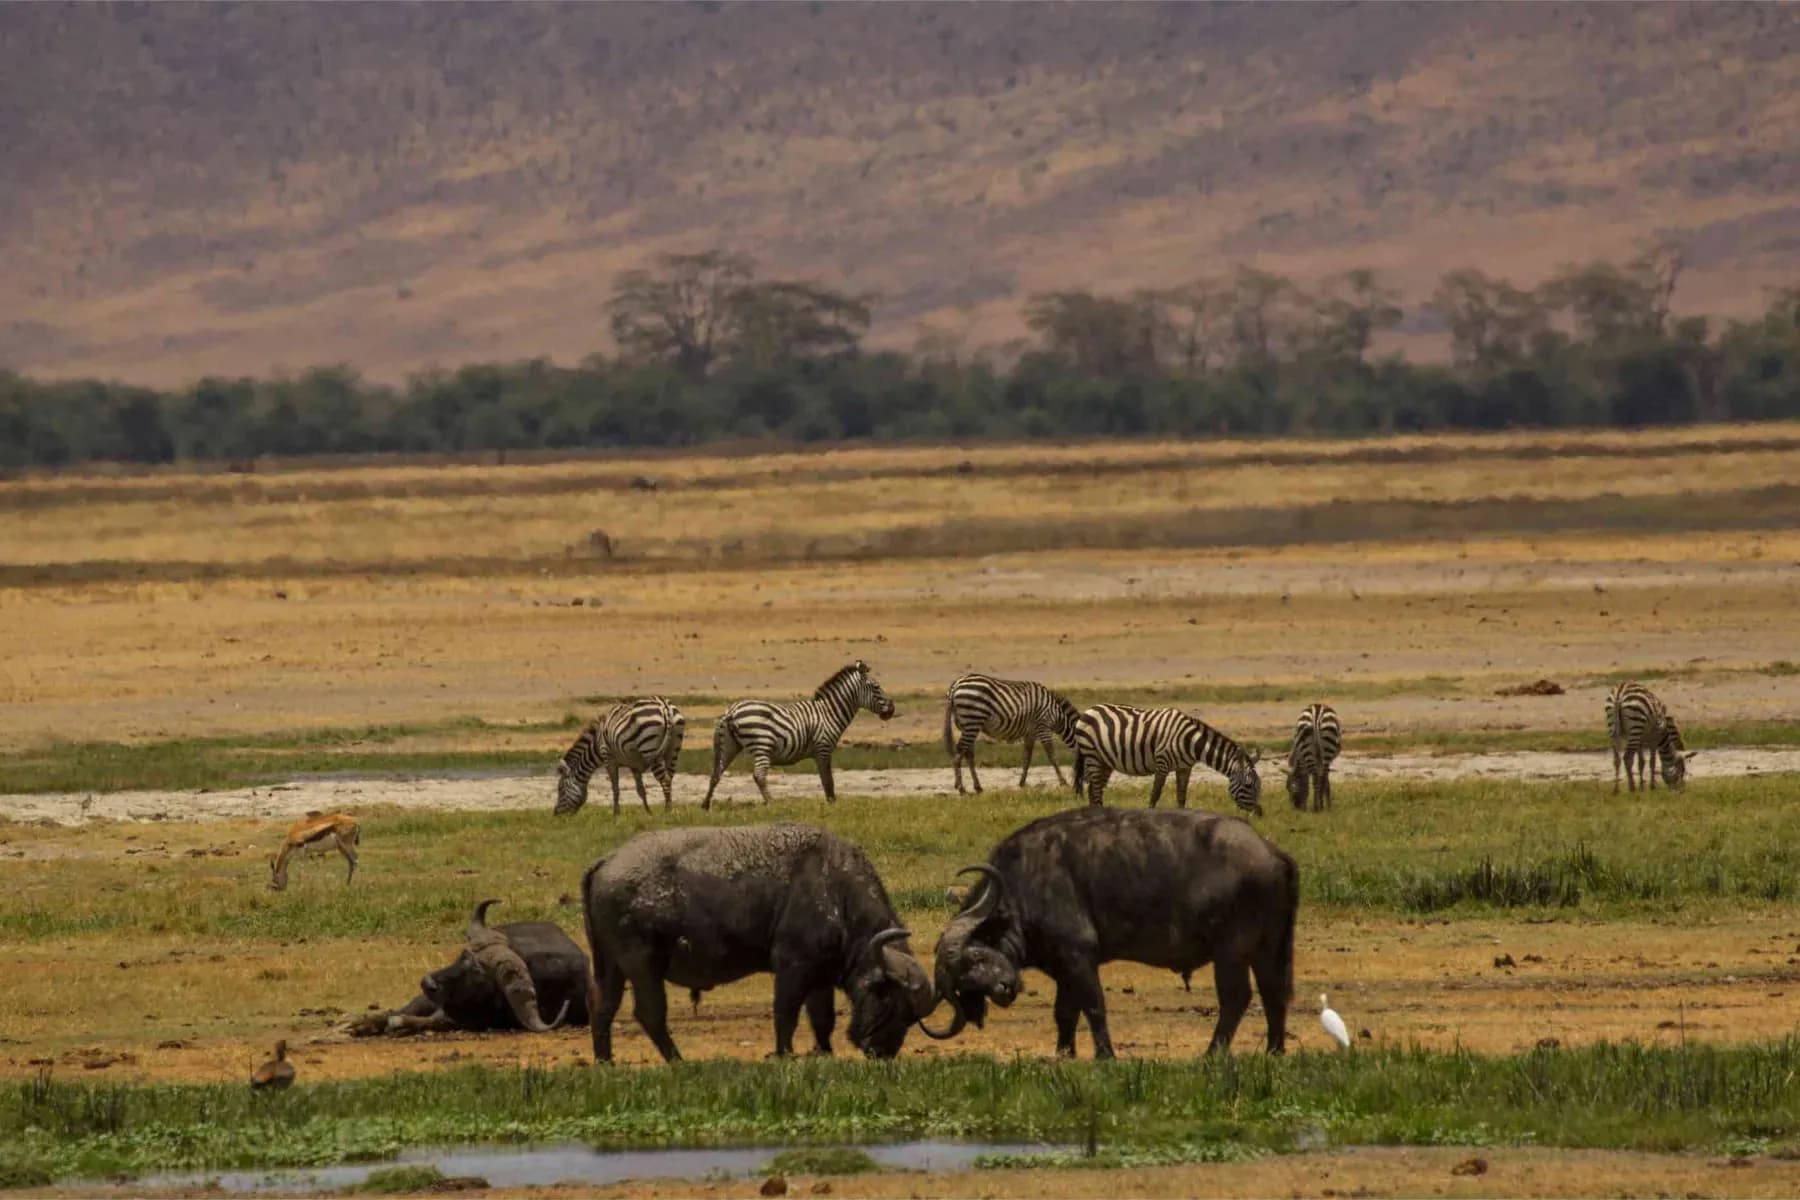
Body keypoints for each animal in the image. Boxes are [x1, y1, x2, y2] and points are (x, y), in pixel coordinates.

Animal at [581, 823, 936, 1062]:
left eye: (910, 1017)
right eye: (889, 1000)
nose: (882, 1051)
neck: (835, 891)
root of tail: (606, 861)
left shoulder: (820, 975)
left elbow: (822, 1018)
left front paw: (823, 1052)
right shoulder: (793, 968)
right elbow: (785, 1014)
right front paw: (784, 1054)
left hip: (610, 966)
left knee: (603, 1005)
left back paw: (605, 1060)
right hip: (643, 966)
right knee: (650, 1013)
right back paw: (677, 1060)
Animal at [924, 807, 1298, 1058]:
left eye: (975, 955)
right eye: (962, 983)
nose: (1002, 990)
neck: (1024, 884)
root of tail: (1271, 851)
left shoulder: (1080, 958)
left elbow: (1093, 1006)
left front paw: (1105, 1055)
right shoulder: (1065, 968)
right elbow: (1064, 1012)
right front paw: (1064, 1054)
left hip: (1231, 952)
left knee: (1236, 997)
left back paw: (1212, 1054)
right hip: (1267, 948)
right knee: (1273, 992)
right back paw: (1274, 1050)